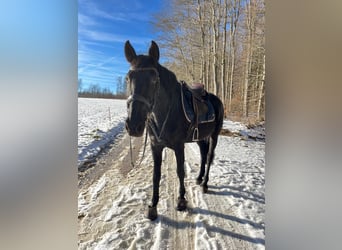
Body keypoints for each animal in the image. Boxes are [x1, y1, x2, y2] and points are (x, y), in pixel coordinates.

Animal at [124, 40, 223, 220]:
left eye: (154, 79)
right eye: (128, 78)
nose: (133, 125)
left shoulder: (179, 146)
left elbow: (180, 171)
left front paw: (181, 201)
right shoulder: (155, 147)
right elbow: (155, 176)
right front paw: (153, 206)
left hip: (215, 135)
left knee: (209, 155)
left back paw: (205, 184)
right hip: (200, 138)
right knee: (203, 155)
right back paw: (199, 179)